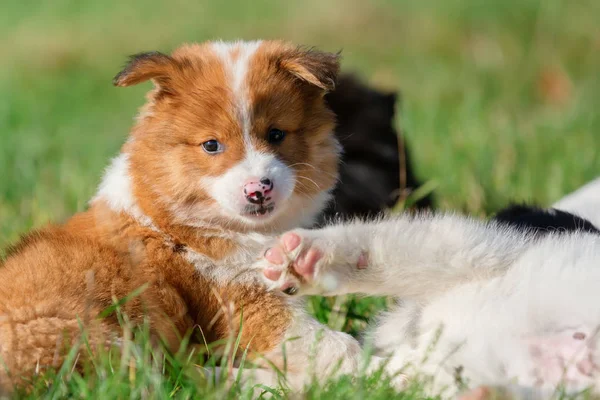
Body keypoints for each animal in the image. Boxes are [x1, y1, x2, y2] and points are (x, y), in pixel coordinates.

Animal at [0, 40, 366, 390]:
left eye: (276, 134)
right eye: (211, 145)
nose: (258, 190)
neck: (178, 222)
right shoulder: (245, 302)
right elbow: (336, 346)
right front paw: (368, 368)